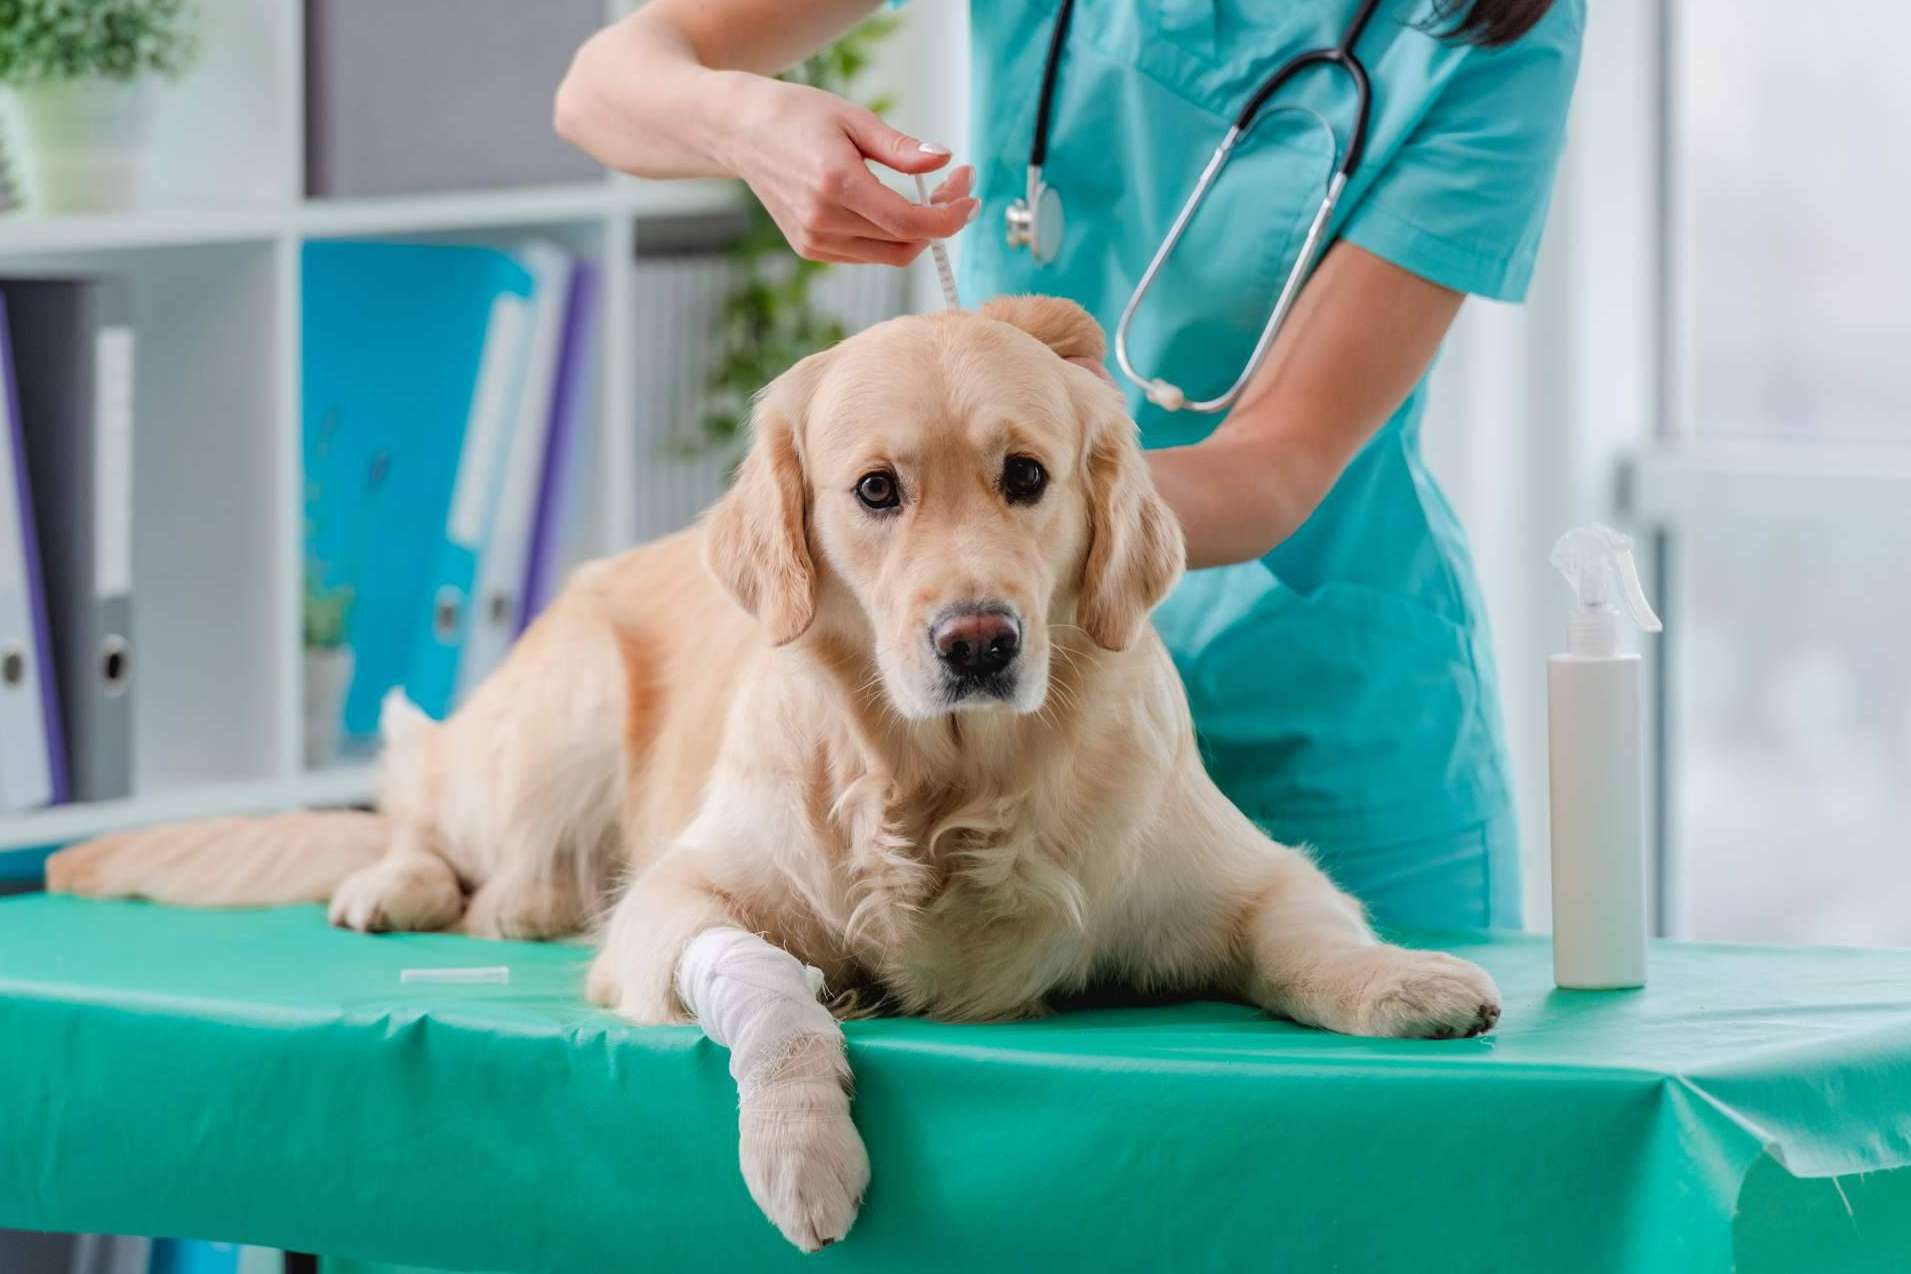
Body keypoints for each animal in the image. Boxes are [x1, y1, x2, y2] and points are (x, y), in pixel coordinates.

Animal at [52, 299, 1498, 1252]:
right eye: (876, 490)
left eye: (1026, 475)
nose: (978, 641)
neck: (948, 793)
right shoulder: (677, 901)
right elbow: (767, 988)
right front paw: (803, 1147)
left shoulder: (1241, 872)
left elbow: (1311, 928)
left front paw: (1406, 981)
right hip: (565, 701)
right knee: (427, 806)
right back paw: (417, 886)